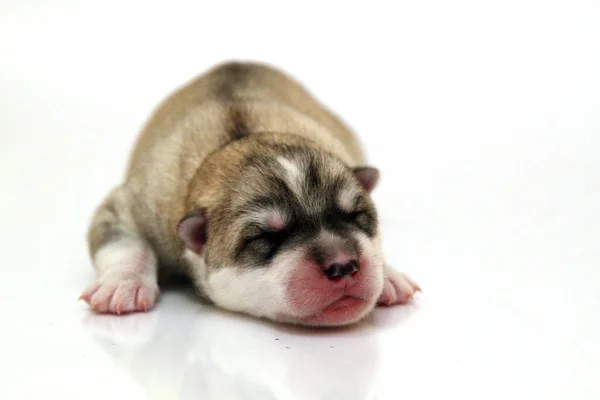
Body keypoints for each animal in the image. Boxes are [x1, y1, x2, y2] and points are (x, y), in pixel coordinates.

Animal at [79, 61, 420, 326]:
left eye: (356, 216)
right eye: (266, 236)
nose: (343, 265)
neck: (243, 139)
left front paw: (388, 276)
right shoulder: (134, 204)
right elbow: (124, 242)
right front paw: (122, 284)